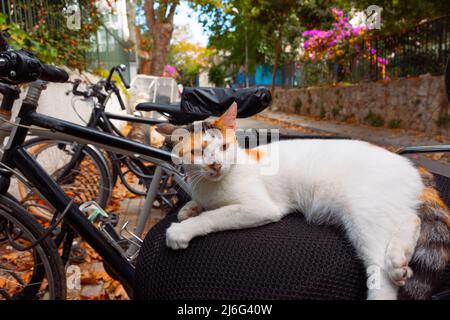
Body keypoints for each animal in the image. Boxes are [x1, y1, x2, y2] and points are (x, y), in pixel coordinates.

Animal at [156, 103, 448, 300]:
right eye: (197, 152)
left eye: (225, 148)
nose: (216, 165)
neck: (212, 185)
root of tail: (409, 163)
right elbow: (200, 206)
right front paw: (188, 209)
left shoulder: (258, 207)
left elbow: (215, 215)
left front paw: (182, 229)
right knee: (411, 218)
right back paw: (398, 260)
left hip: (364, 215)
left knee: (382, 274)